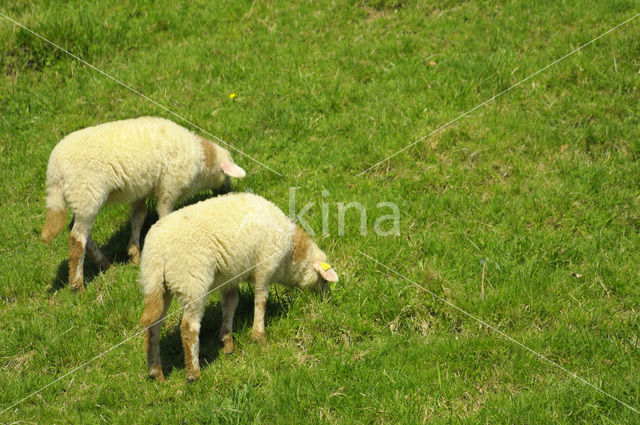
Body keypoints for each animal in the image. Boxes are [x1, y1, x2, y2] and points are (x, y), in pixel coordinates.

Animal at [39, 116, 245, 292]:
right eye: (227, 174)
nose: (227, 190)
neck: (201, 158)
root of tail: (54, 170)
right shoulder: (169, 187)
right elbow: (164, 215)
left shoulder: (140, 191)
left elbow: (139, 217)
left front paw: (134, 254)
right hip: (87, 193)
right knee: (77, 238)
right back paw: (78, 285)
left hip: (79, 198)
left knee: (79, 230)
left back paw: (105, 264)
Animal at [140, 192, 340, 380]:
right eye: (323, 280)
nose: (324, 300)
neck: (290, 253)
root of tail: (158, 251)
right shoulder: (265, 266)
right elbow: (261, 300)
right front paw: (258, 336)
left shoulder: (231, 276)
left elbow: (231, 304)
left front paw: (227, 342)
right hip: (192, 282)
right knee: (189, 328)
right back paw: (193, 374)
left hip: (156, 284)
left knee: (153, 326)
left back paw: (156, 372)